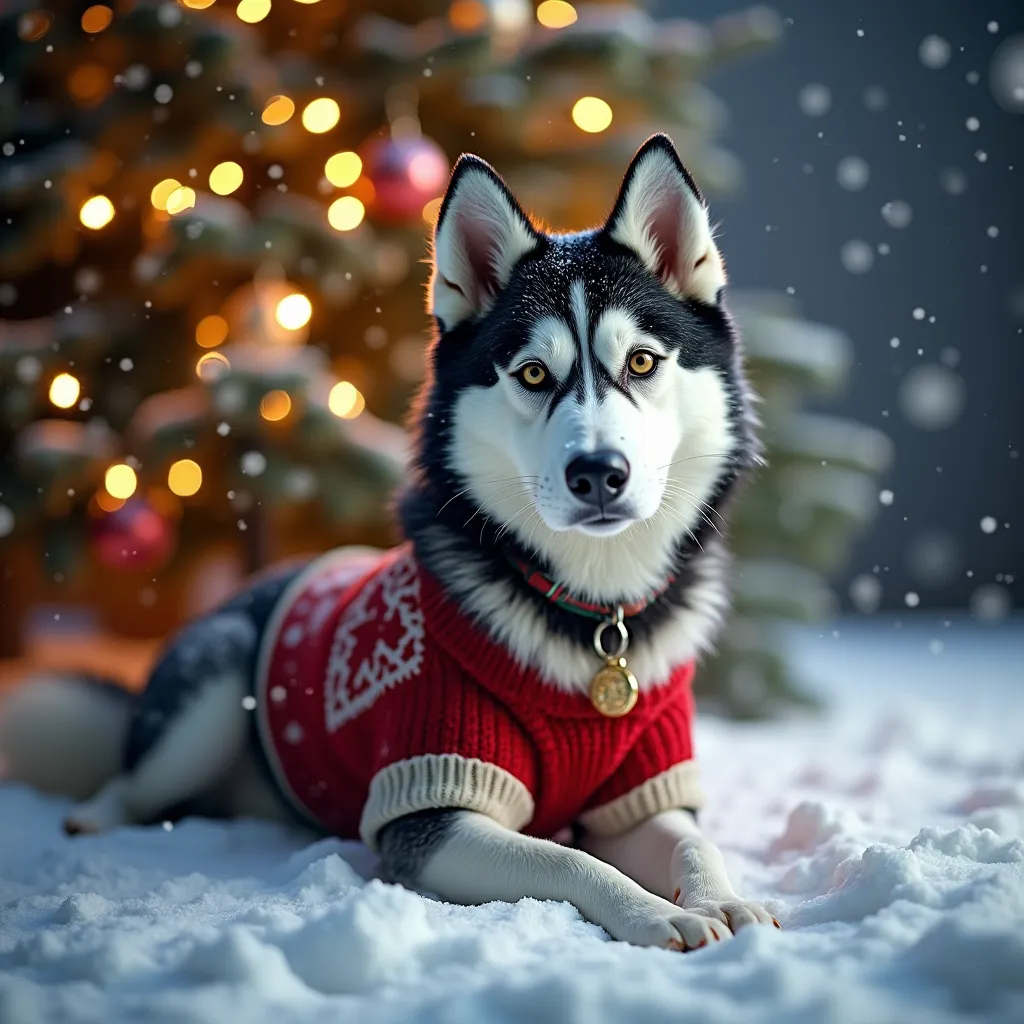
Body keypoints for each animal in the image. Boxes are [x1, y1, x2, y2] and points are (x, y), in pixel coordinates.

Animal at [0, 134, 774, 950]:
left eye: (642, 361)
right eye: (533, 373)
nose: (598, 472)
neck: (587, 612)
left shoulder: (646, 787)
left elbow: (694, 841)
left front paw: (722, 900)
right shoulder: (427, 800)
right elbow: (570, 862)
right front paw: (656, 912)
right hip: (212, 686)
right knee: (128, 782)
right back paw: (94, 818)